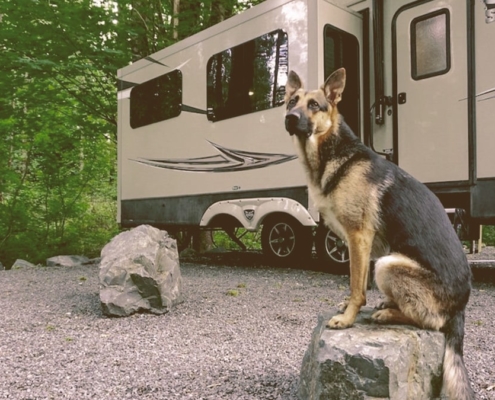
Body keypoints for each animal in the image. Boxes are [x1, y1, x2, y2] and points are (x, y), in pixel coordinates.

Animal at [284, 69, 474, 400]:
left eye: (315, 105)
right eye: (292, 101)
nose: (290, 118)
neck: (333, 151)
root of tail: (461, 306)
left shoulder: (358, 238)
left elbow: (356, 287)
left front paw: (347, 318)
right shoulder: (359, 245)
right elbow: (356, 284)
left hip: (387, 264)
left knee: (433, 321)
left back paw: (388, 314)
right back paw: (388, 305)